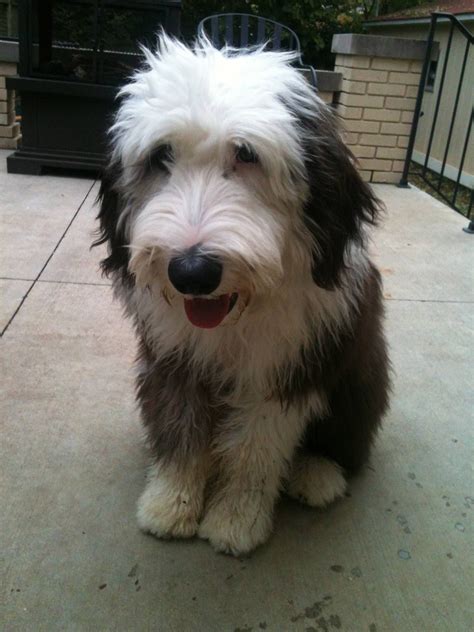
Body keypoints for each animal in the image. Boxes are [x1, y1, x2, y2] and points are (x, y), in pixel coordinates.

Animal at [94, 34, 390, 556]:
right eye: (160, 157)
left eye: (248, 155)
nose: (192, 272)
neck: (236, 319)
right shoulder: (174, 360)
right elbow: (182, 432)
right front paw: (171, 505)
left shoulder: (286, 368)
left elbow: (256, 451)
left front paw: (235, 521)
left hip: (361, 374)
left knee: (346, 442)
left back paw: (317, 474)